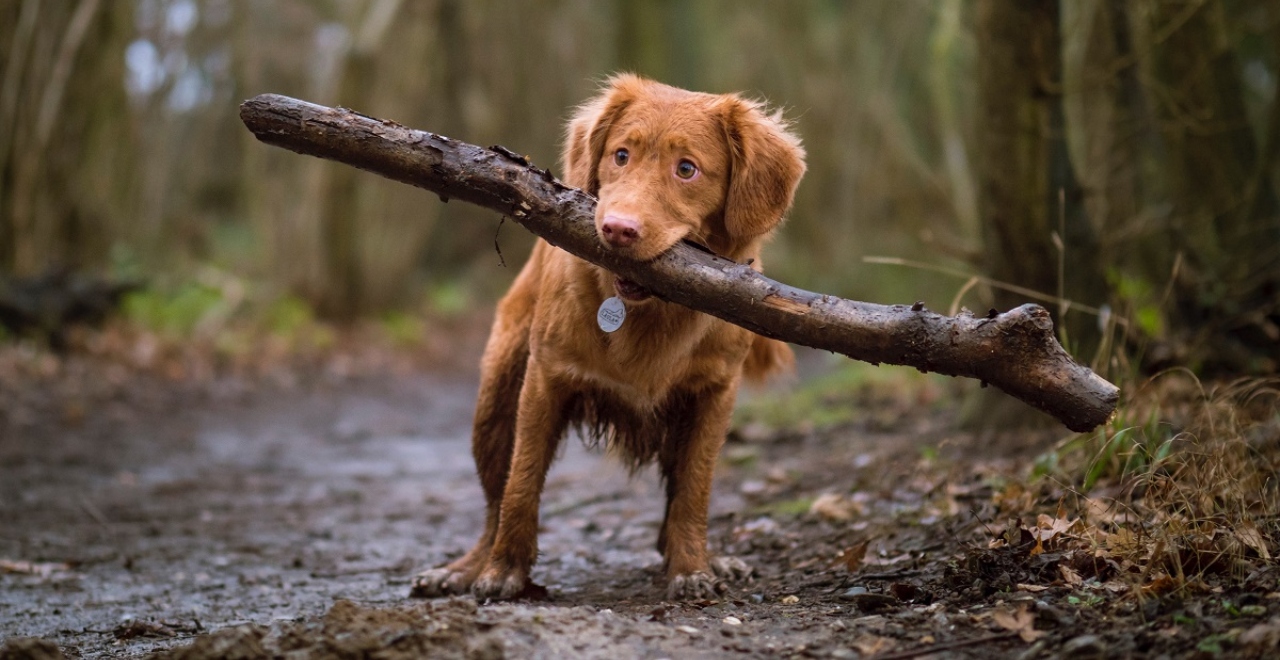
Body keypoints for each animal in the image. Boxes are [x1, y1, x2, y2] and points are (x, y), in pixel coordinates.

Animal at [414, 74, 803, 601]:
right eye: (621, 155)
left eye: (687, 169)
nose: (618, 229)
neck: (650, 313)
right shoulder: (545, 379)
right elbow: (521, 483)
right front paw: (504, 572)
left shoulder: (714, 394)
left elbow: (694, 489)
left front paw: (692, 568)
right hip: (495, 400)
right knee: (495, 499)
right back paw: (466, 568)